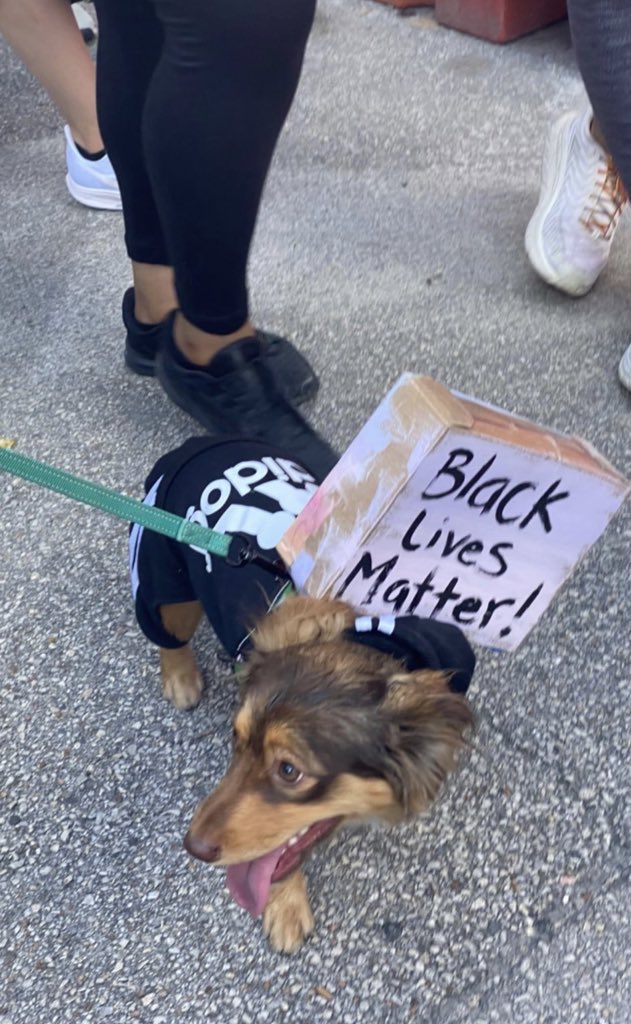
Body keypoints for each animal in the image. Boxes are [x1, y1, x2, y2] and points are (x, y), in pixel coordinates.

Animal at [130, 438, 475, 950]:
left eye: (289, 771)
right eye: (235, 740)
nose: (192, 846)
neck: (370, 637)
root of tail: (201, 443)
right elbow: (277, 853)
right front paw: (286, 904)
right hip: (162, 577)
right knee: (166, 629)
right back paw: (180, 677)